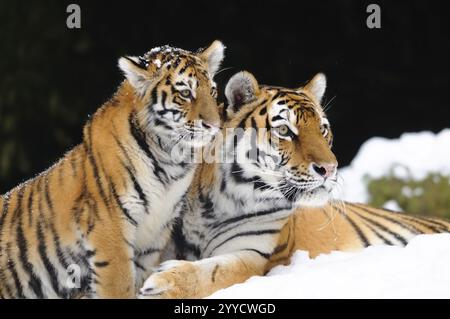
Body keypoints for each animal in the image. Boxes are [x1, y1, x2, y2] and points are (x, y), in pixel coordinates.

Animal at [0, 40, 224, 300]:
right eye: (185, 93)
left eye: (213, 91)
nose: (215, 126)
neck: (171, 161)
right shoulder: (110, 228)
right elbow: (119, 286)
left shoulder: (154, 234)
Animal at [141, 70, 450, 300]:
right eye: (284, 131)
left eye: (323, 129)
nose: (329, 169)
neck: (214, 204)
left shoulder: (256, 254)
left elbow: (215, 271)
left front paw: (162, 285)